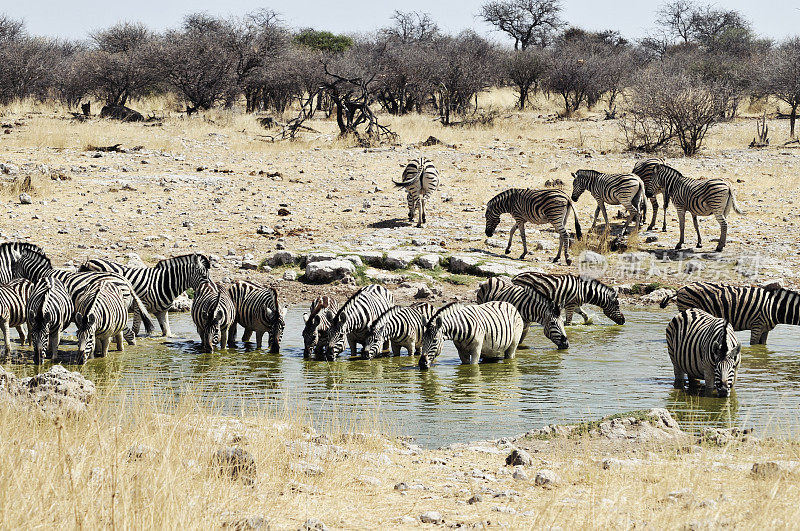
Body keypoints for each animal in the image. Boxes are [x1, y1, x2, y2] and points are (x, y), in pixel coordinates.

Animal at [79, 254, 211, 336]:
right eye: (204, 275)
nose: (209, 288)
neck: (163, 283)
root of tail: (90, 261)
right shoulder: (140, 306)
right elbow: (136, 330)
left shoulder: (162, 311)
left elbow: (167, 332)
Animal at [664, 280, 800, 348]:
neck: (773, 307)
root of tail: (680, 289)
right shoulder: (757, 324)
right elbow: (754, 345)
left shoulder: (765, 329)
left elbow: (763, 345)